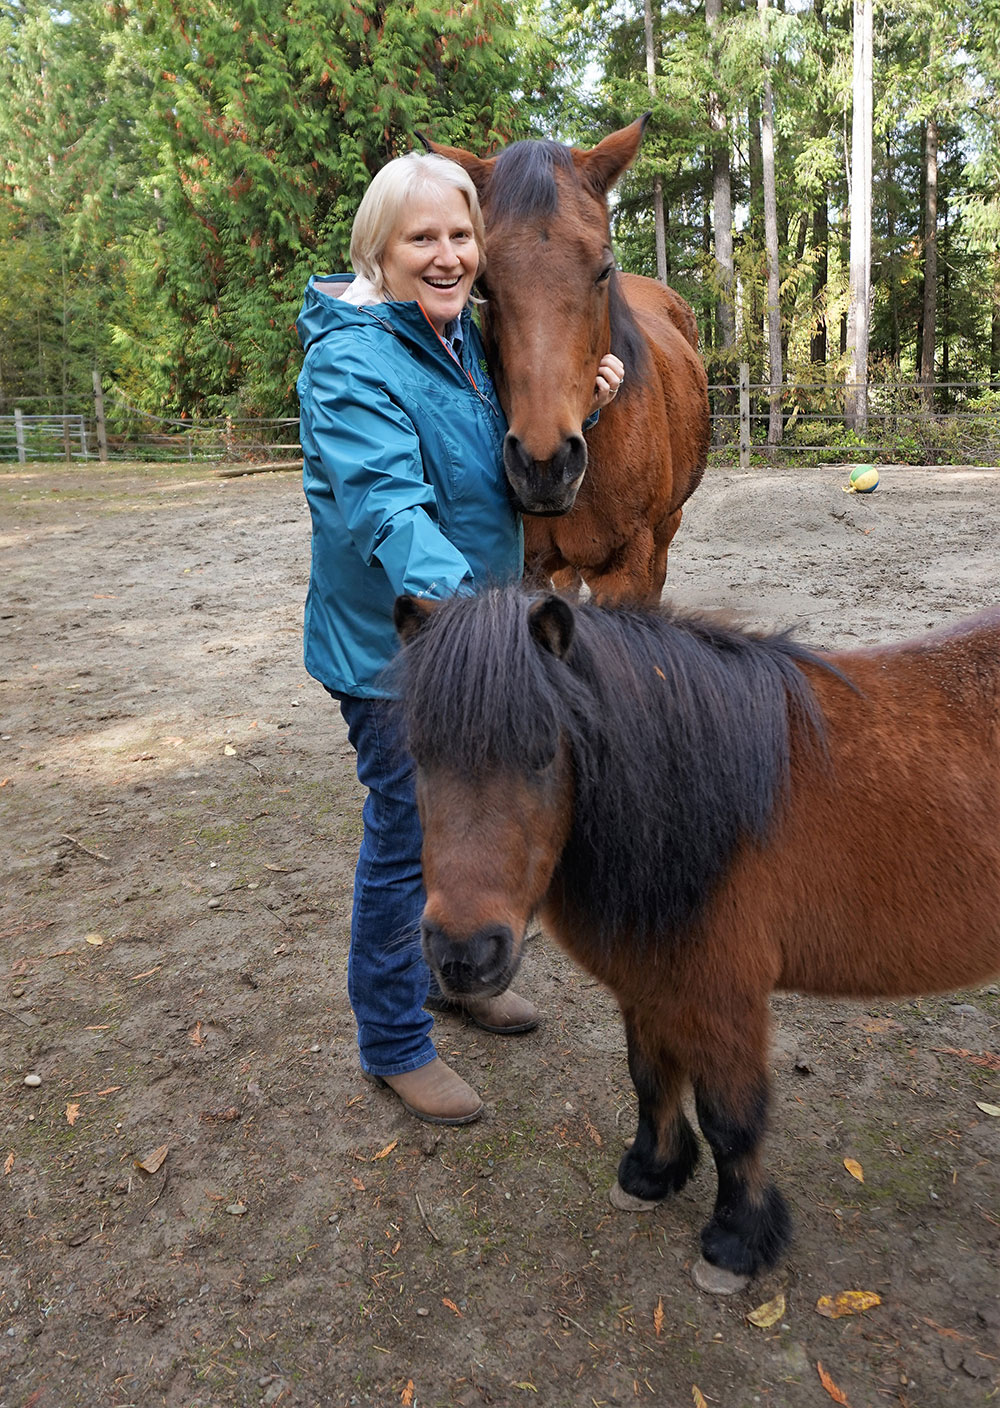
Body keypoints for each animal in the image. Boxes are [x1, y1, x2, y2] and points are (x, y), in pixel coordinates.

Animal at [394, 588, 1000, 1289]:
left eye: (544, 752)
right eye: (419, 756)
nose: (464, 955)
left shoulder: (723, 999)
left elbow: (731, 1119)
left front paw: (737, 1241)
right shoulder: (647, 983)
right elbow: (651, 1077)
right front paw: (652, 1174)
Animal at [430, 119, 712, 599]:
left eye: (604, 269)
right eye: (481, 283)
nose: (545, 466)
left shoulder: (626, 570)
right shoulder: (529, 569)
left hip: (665, 529)